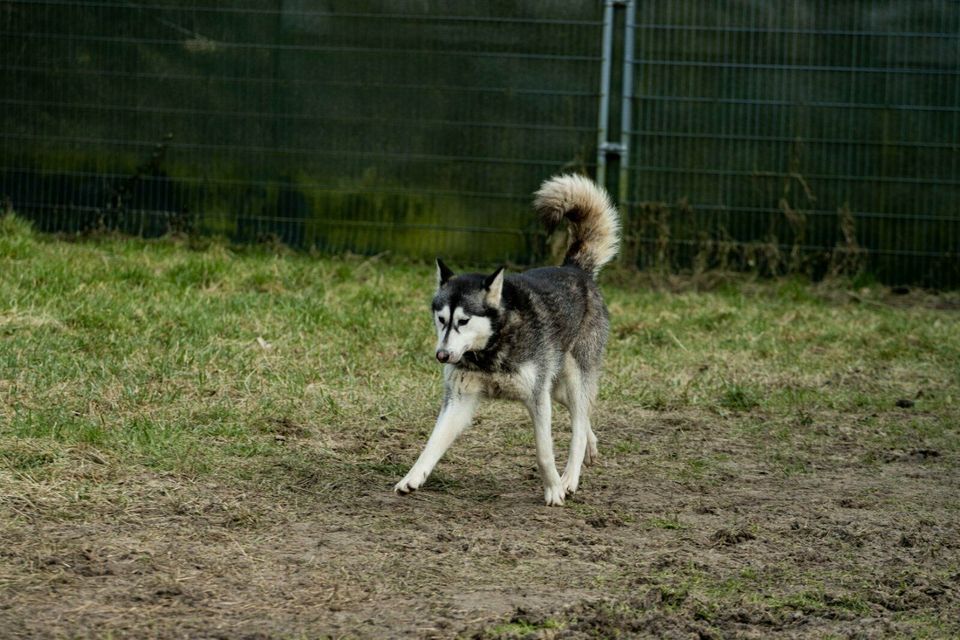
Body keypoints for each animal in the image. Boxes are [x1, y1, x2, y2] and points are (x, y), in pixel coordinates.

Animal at [394, 175, 620, 504]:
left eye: (464, 321)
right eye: (441, 319)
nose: (442, 355)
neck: (492, 348)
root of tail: (574, 268)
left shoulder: (537, 398)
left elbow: (544, 453)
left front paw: (553, 490)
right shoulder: (460, 399)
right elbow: (432, 445)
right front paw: (412, 478)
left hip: (573, 379)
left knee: (578, 427)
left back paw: (569, 478)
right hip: (556, 387)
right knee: (585, 415)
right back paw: (591, 448)